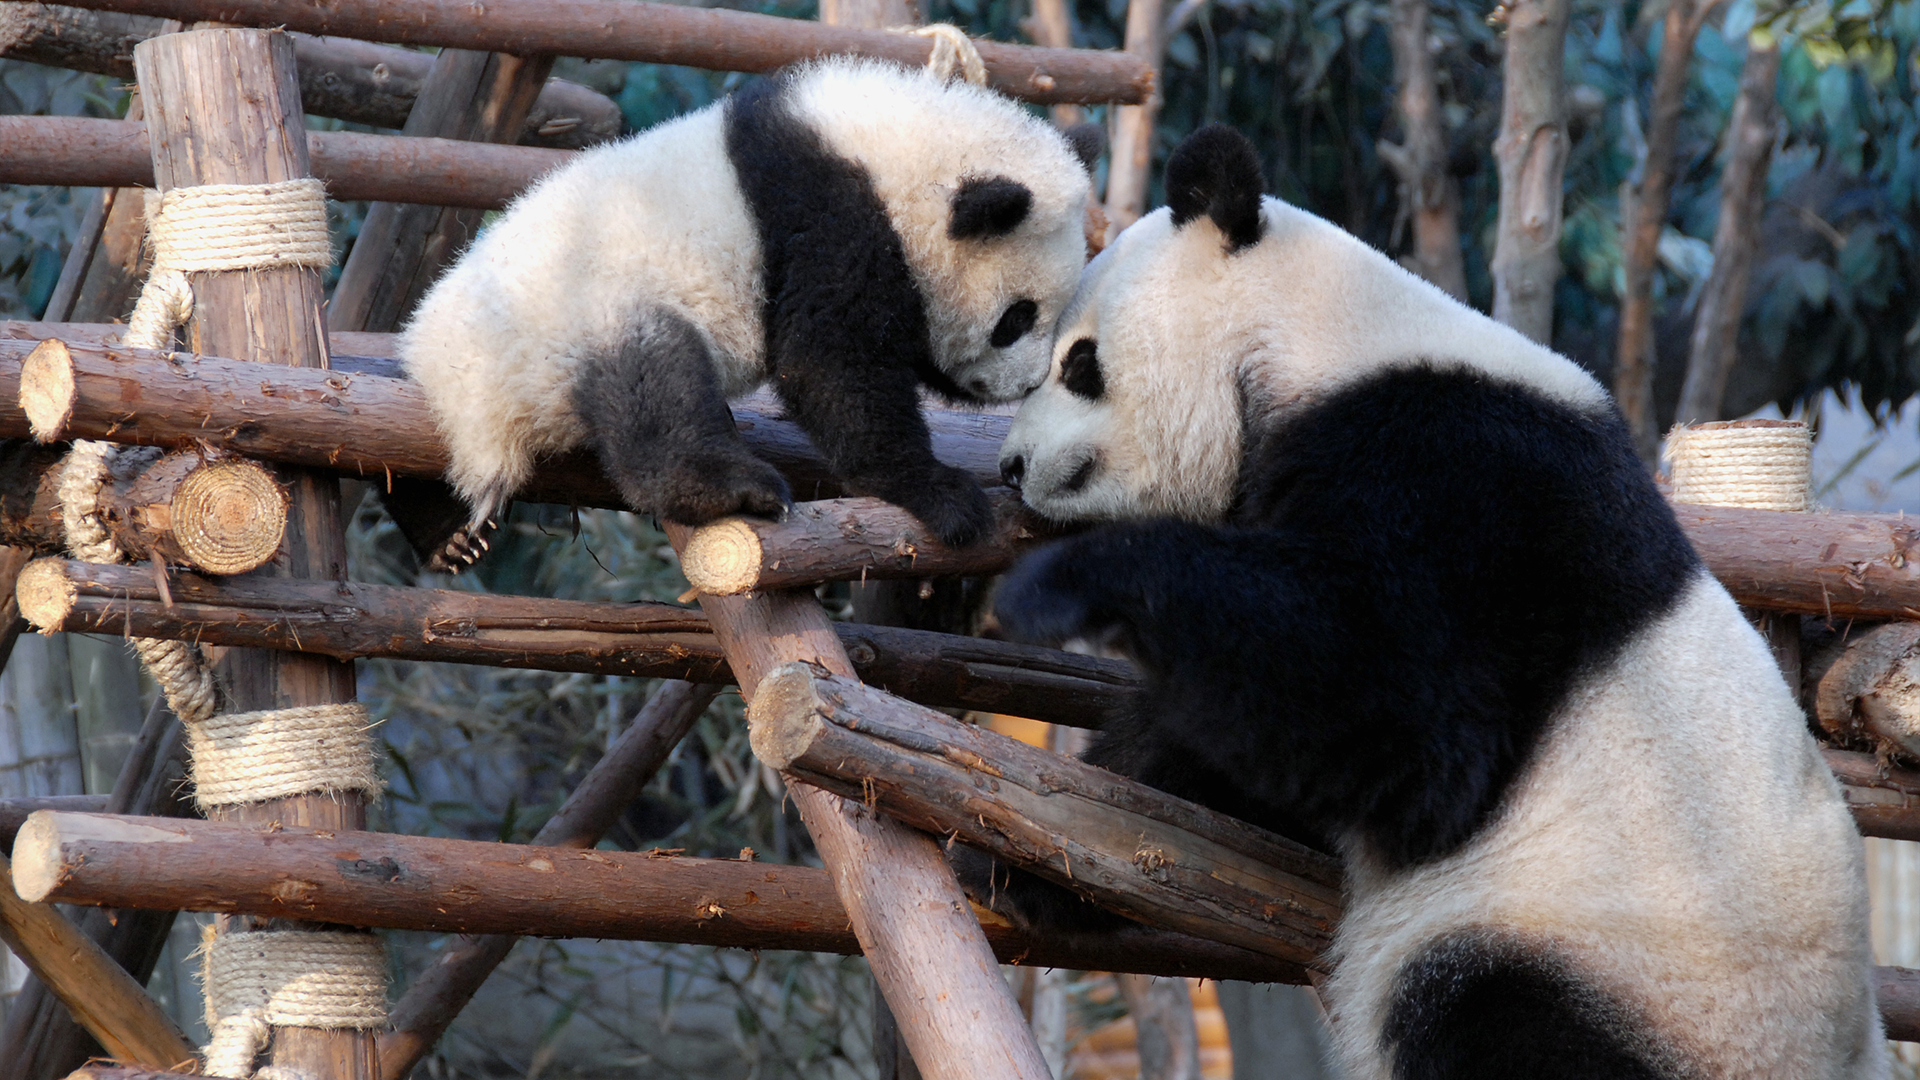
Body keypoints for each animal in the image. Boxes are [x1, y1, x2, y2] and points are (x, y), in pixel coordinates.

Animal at [398, 57, 1099, 568]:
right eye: (1017, 318)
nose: (1024, 384)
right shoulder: (833, 216)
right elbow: (829, 365)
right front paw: (941, 494)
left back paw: (445, 536)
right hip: (580, 317)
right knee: (657, 389)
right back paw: (731, 486)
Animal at [987, 126, 1886, 1080]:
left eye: (1080, 364)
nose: (1010, 465)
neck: (1318, 337)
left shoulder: (1463, 487)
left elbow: (1399, 714)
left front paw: (1068, 581)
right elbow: (1232, 751)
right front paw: (1032, 868)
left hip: (1632, 970)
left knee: (1479, 1011)